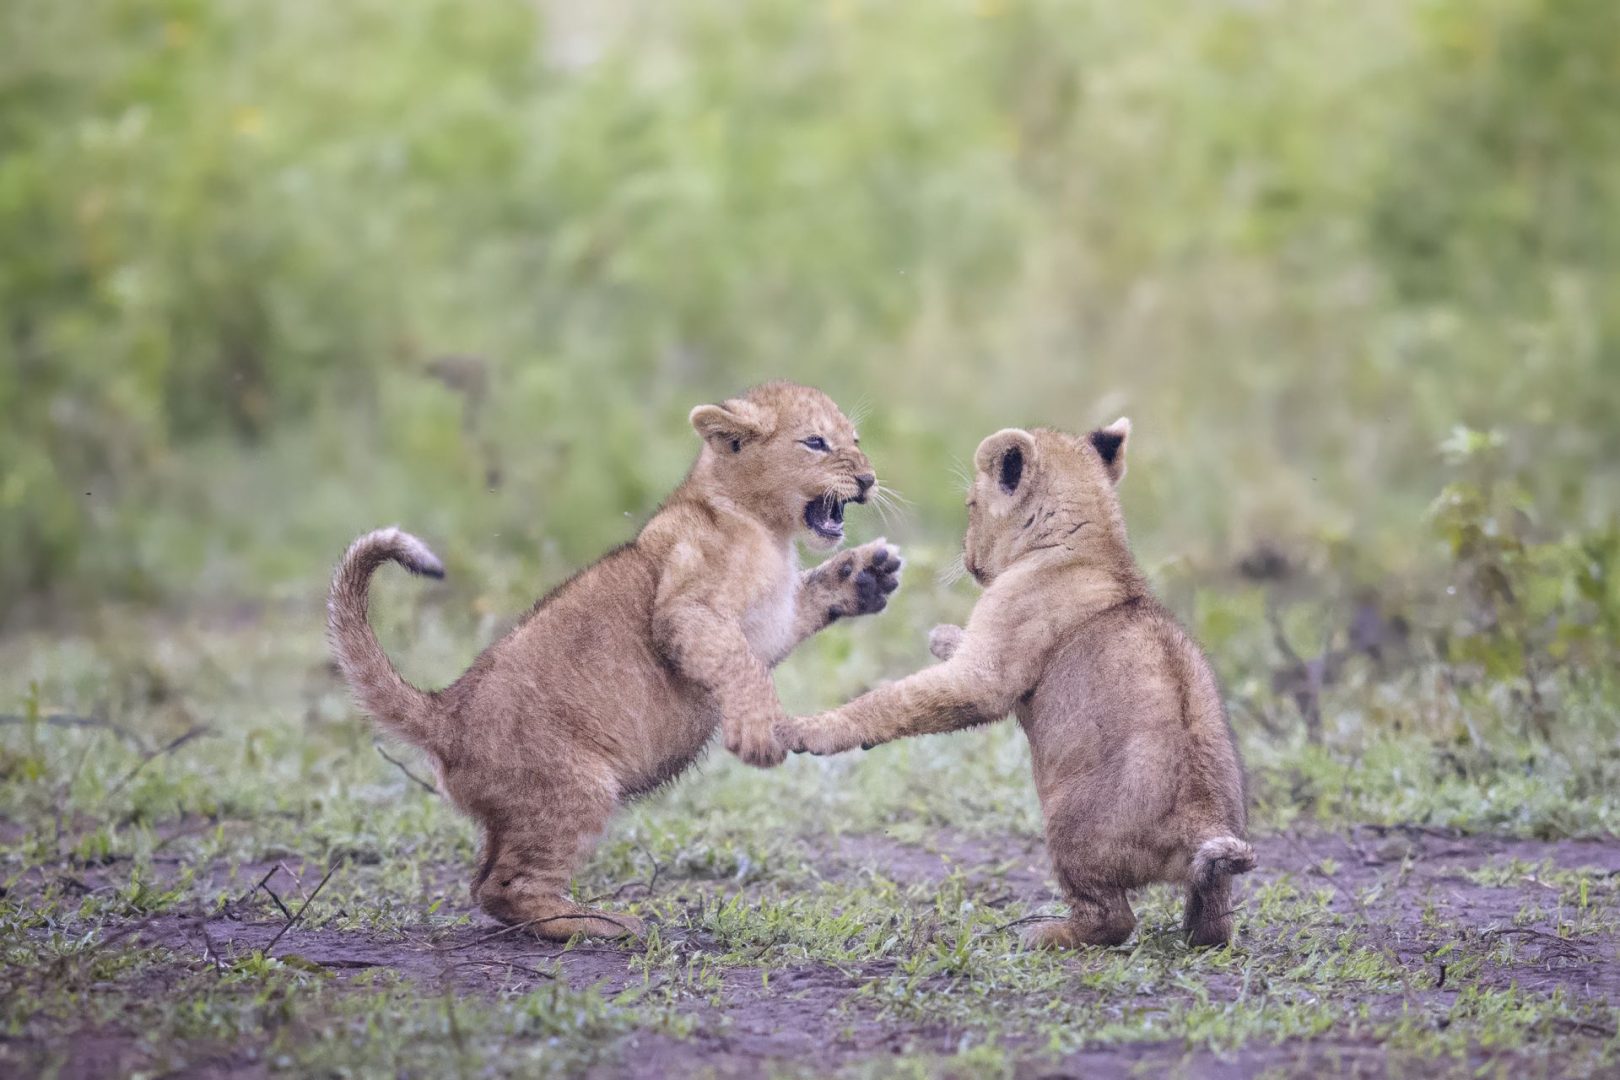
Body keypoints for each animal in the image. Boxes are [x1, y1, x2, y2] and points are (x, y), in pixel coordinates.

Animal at [328, 381, 901, 940]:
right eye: (816, 443)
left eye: (854, 439)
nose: (869, 479)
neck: (764, 527)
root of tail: (446, 712)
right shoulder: (687, 606)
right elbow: (740, 663)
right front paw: (757, 730)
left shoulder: (774, 620)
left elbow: (801, 608)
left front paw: (866, 576)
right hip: (573, 789)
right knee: (504, 886)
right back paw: (597, 923)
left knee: (483, 881)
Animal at [776, 419, 1253, 947]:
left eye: (970, 505)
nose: (967, 557)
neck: (1094, 548)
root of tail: (1197, 820)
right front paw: (944, 637)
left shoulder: (988, 669)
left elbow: (901, 698)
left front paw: (810, 730)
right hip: (1216, 857)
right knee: (1214, 917)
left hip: (1069, 827)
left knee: (1112, 920)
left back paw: (1043, 934)